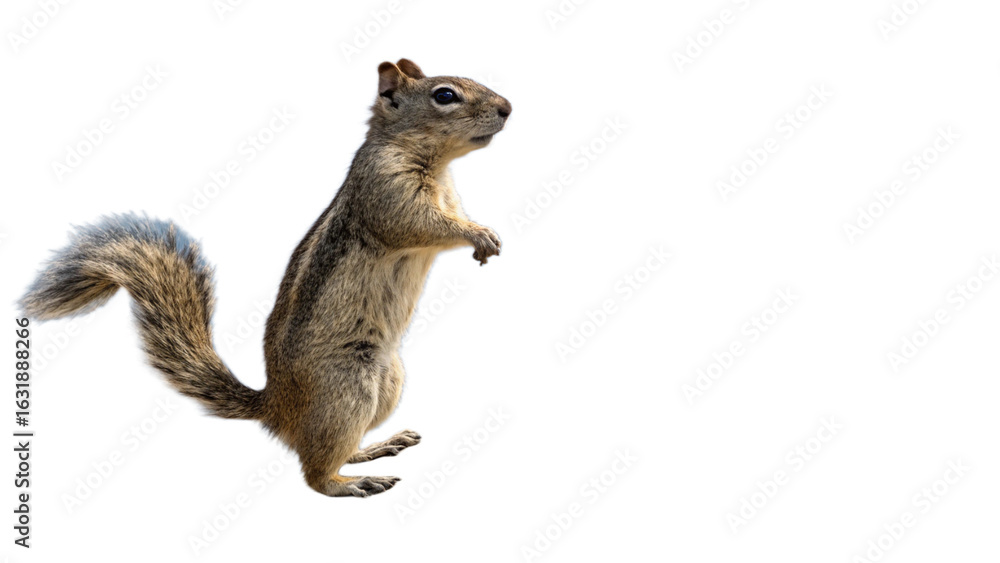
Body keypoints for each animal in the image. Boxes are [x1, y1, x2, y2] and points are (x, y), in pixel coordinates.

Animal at [19, 59, 511, 498]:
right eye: (444, 95)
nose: (507, 107)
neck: (436, 163)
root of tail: (276, 407)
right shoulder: (386, 192)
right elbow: (421, 224)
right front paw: (478, 235)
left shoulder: (446, 197)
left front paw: (485, 235)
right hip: (346, 388)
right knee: (315, 473)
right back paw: (352, 483)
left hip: (387, 381)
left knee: (334, 450)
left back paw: (376, 447)